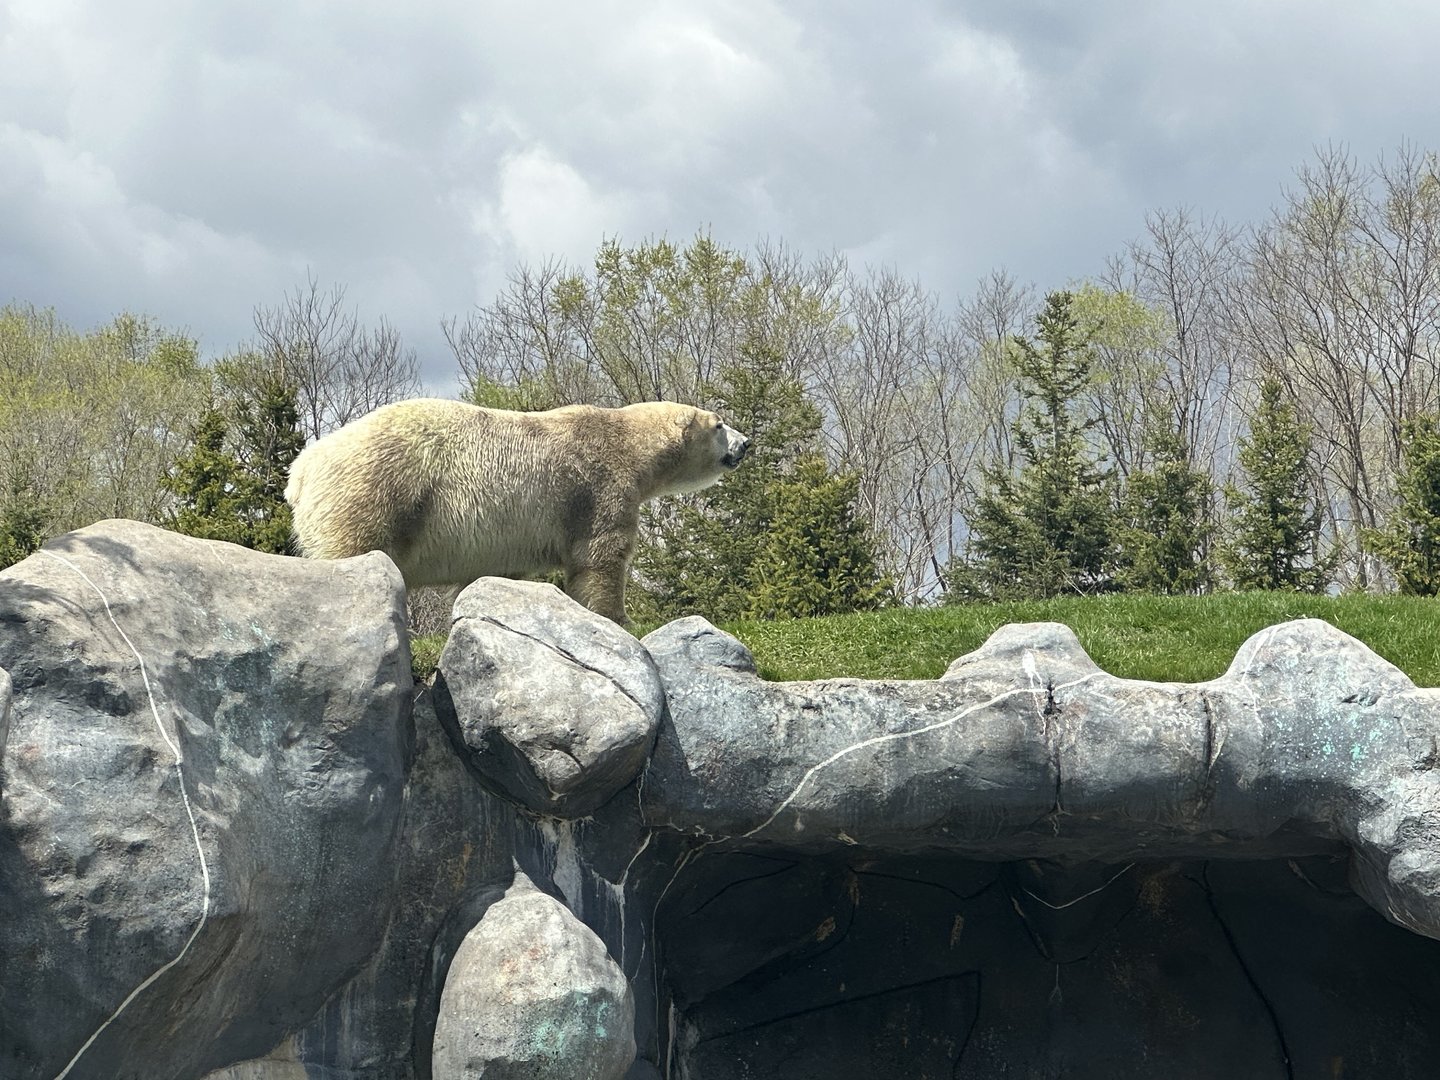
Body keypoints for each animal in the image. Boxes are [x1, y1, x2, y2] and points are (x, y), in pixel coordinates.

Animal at [284, 398, 750, 623]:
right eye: (719, 424)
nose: (746, 443)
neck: (627, 443)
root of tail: (301, 471)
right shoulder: (598, 487)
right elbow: (600, 556)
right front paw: (618, 618)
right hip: (375, 489)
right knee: (354, 549)